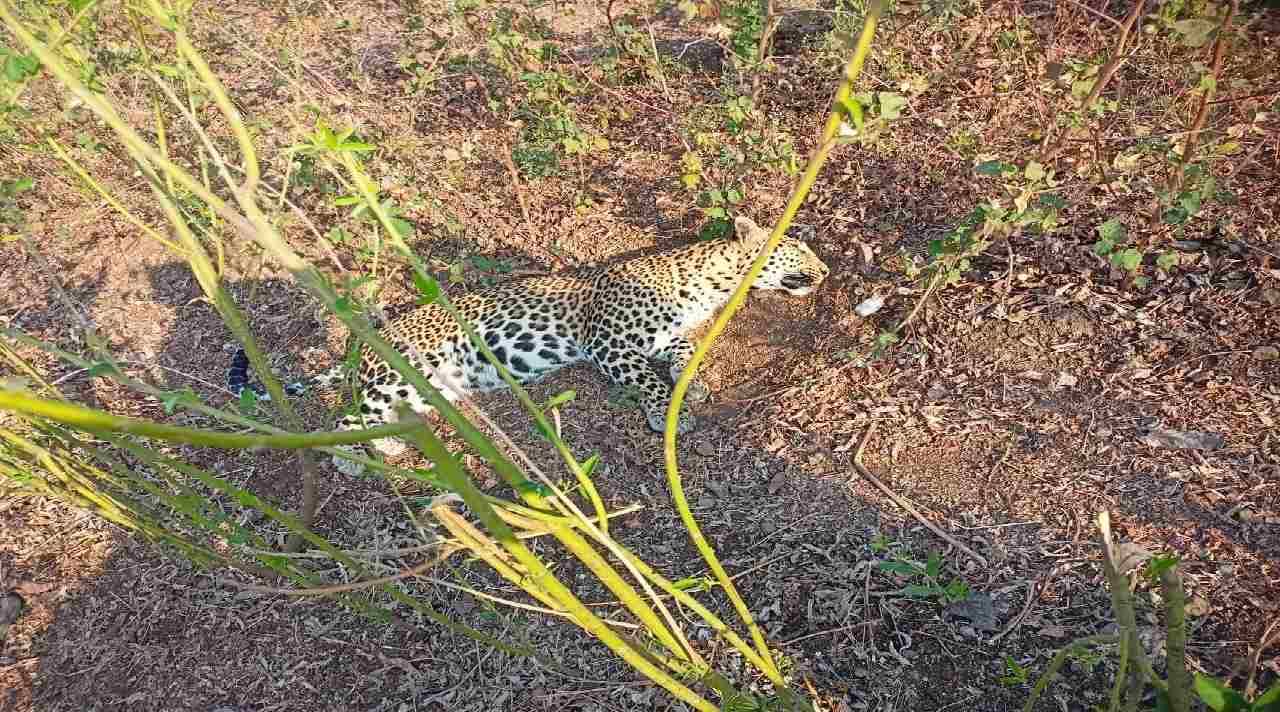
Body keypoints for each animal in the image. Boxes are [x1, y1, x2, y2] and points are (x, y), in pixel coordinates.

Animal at [229, 213, 829, 476]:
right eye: (798, 248)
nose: (824, 271)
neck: (710, 286)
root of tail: (372, 342)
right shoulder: (609, 341)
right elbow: (647, 381)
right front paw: (665, 413)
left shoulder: (664, 338)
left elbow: (679, 356)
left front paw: (694, 385)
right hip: (401, 373)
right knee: (343, 420)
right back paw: (361, 459)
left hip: (426, 388)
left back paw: (393, 444)